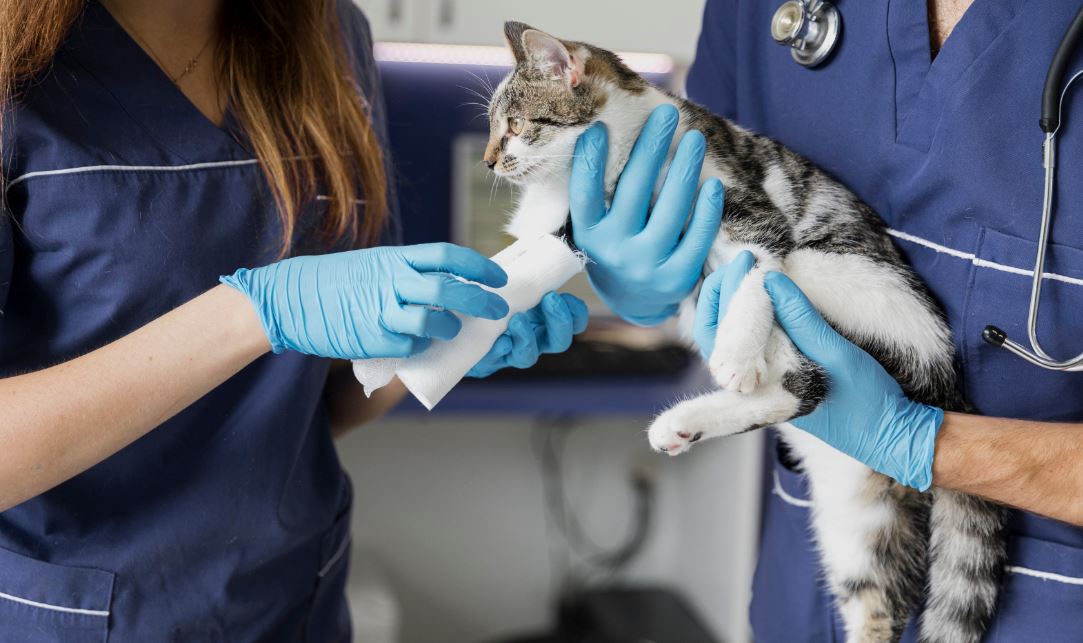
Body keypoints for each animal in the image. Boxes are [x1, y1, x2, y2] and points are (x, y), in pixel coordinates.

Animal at [483, 20, 1005, 640]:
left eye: (515, 124)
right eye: (490, 125)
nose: (488, 161)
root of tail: (945, 386)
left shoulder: (736, 201)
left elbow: (756, 261)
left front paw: (734, 345)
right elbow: (526, 257)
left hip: (826, 271)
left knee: (808, 376)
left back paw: (715, 388)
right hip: (857, 521)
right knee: (879, 597)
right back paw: (686, 426)